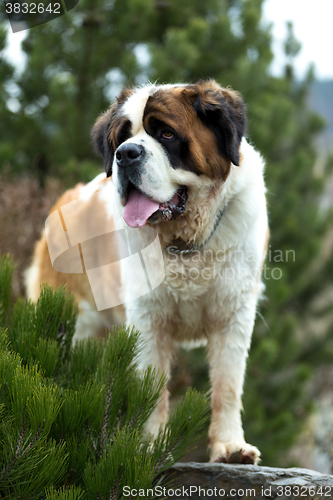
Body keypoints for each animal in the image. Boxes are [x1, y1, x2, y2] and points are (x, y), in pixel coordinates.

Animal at [27, 79, 268, 464]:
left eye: (166, 133)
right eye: (121, 138)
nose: (126, 154)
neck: (184, 244)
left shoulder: (233, 316)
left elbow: (227, 385)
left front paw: (230, 446)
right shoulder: (148, 321)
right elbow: (151, 385)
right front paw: (149, 447)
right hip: (72, 323)